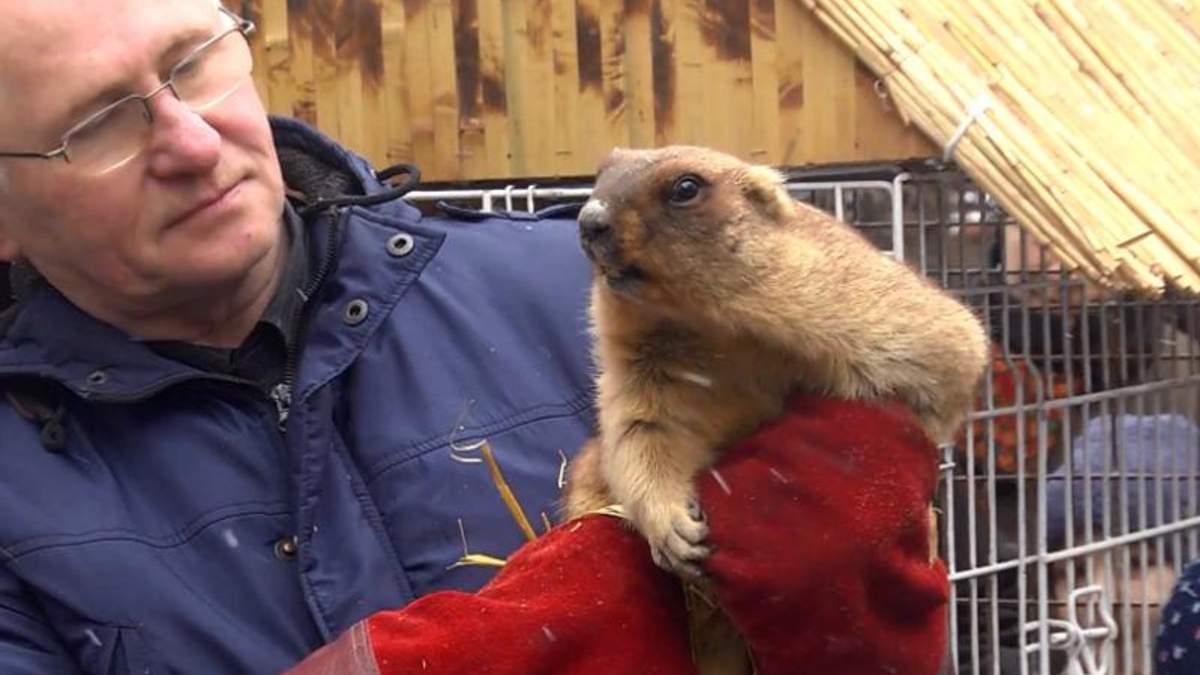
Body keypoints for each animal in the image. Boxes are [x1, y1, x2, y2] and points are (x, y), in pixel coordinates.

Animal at [563, 145, 988, 674]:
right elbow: (640, 431)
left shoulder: (849, 298)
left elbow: (951, 348)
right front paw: (676, 529)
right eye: (602, 169)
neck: (710, 325)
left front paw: (925, 517)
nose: (588, 219)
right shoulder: (640, 370)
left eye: (686, 187)